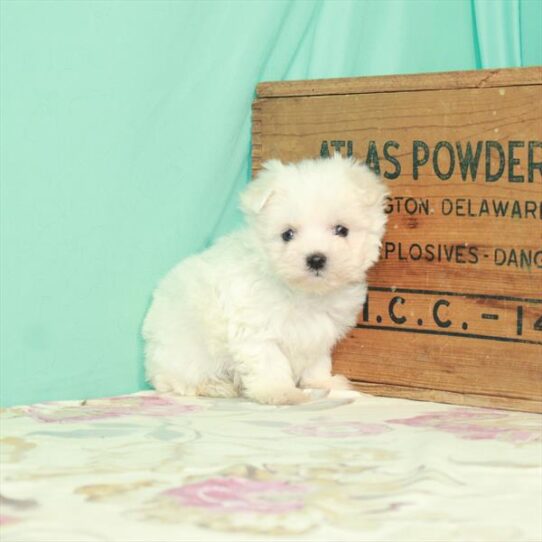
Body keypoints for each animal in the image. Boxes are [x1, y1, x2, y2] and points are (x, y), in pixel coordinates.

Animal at [143, 155, 392, 406]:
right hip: (186, 353)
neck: (303, 292)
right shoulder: (256, 330)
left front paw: (321, 382)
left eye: (341, 230)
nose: (316, 259)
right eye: (287, 234)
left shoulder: (320, 331)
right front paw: (281, 391)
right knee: (178, 381)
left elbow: (317, 361)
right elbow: (269, 362)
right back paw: (216, 386)